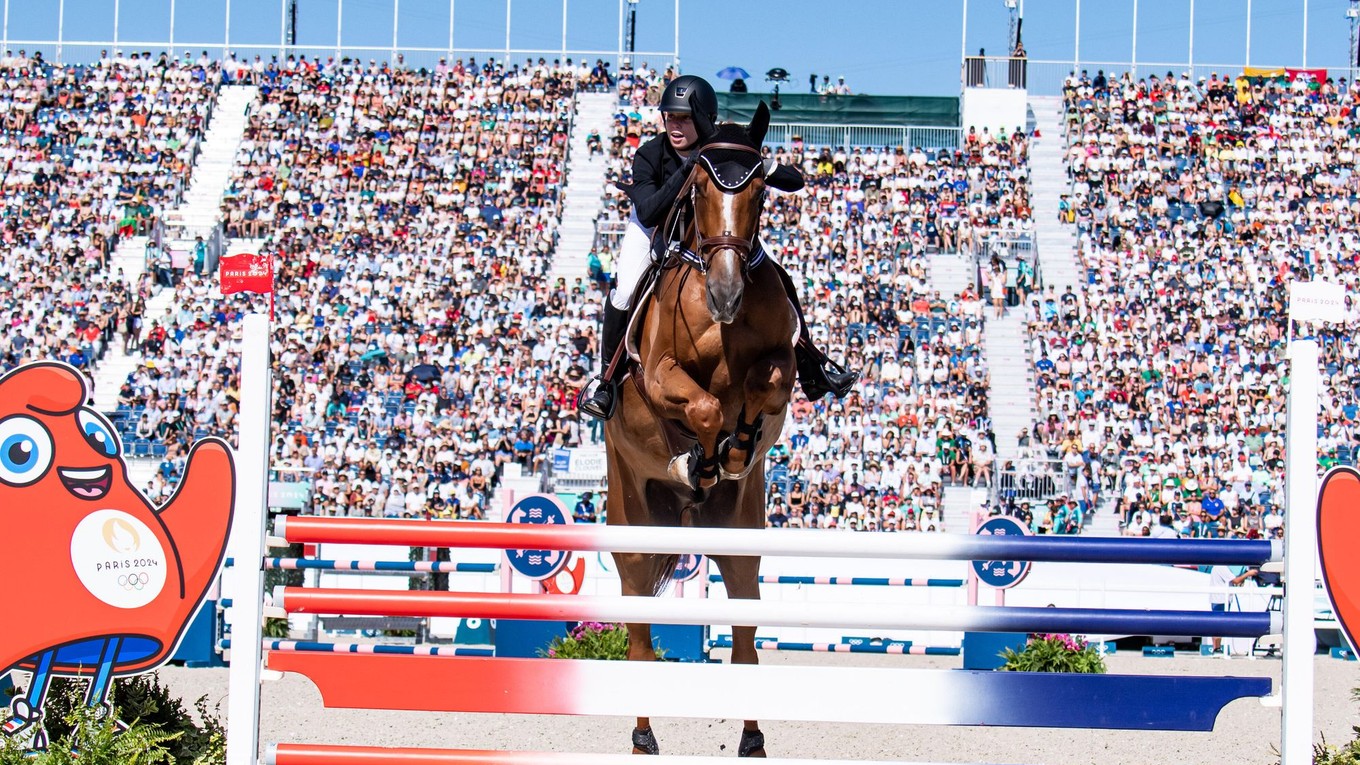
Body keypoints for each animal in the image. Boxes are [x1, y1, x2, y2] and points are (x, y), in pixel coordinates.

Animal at [606, 102, 794, 756]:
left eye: (760, 190)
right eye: (700, 189)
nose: (725, 295)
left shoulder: (782, 363)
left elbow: (765, 383)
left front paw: (735, 452)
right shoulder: (659, 372)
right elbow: (705, 407)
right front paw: (700, 458)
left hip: (740, 541)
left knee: (744, 642)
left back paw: (753, 738)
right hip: (633, 532)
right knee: (639, 639)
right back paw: (642, 736)